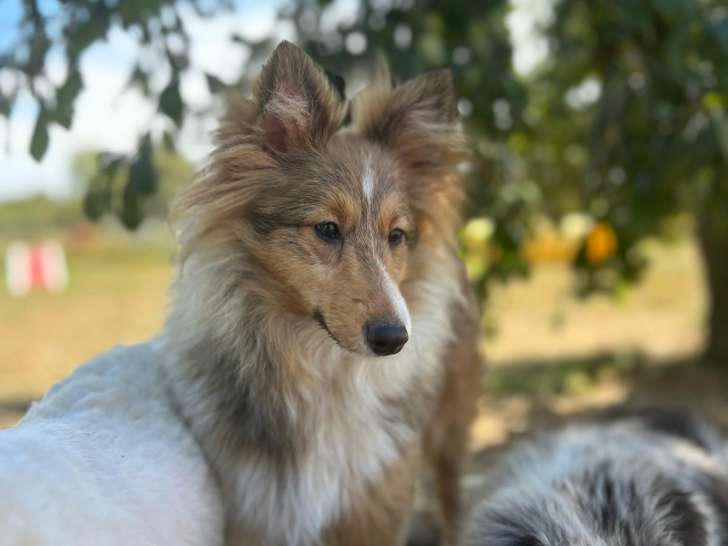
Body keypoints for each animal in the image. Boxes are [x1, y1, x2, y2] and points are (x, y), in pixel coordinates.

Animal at [162, 40, 486, 540]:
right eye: (328, 229)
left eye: (396, 236)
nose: (394, 339)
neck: (320, 364)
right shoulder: (255, 508)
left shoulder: (378, 500)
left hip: (449, 434)